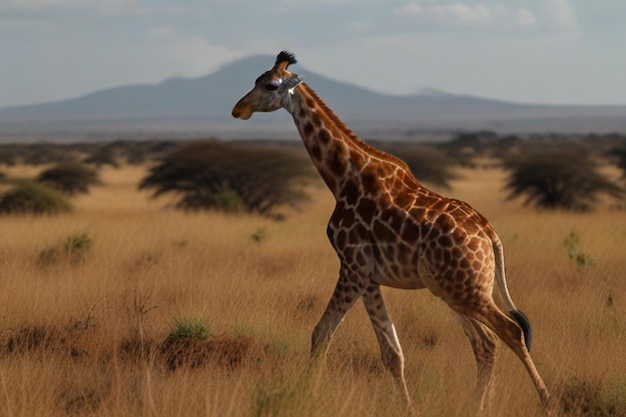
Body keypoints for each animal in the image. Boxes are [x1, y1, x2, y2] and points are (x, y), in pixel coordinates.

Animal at [232, 51, 548, 410]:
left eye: (270, 85)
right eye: (256, 80)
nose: (238, 108)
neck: (343, 178)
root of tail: (489, 233)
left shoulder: (353, 266)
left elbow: (321, 333)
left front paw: (301, 396)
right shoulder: (369, 276)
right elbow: (391, 352)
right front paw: (408, 407)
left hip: (466, 290)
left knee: (510, 331)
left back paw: (544, 400)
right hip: (453, 290)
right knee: (486, 342)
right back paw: (476, 405)